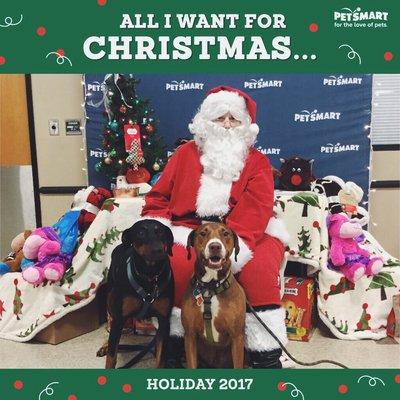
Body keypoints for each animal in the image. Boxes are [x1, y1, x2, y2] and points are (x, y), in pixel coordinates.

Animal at [97, 220, 174, 368]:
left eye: (160, 232)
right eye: (141, 232)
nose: (158, 250)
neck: (150, 276)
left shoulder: (164, 321)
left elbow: (160, 356)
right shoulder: (119, 319)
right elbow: (111, 356)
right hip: (111, 301)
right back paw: (104, 346)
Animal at [182, 223, 247, 368]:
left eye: (225, 233)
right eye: (202, 233)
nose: (215, 246)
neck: (211, 288)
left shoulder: (237, 337)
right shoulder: (190, 336)